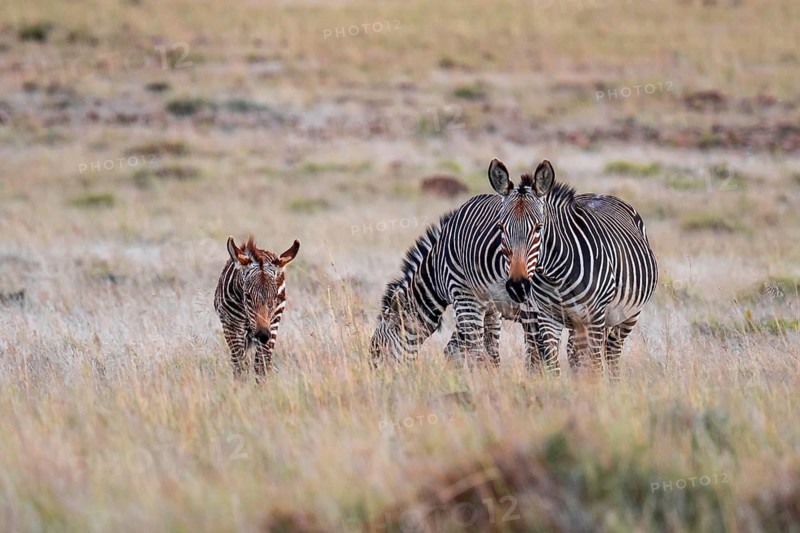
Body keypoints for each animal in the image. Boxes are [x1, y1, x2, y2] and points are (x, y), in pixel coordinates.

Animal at [214, 236, 300, 376]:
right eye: (247, 295)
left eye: (275, 297)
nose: (263, 334)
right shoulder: (232, 326)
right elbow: (239, 365)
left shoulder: (271, 327)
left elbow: (261, 366)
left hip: (273, 324)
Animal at [488, 157, 658, 376]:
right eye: (501, 227)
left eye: (538, 228)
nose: (518, 286)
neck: (555, 277)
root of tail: (600, 194)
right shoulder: (547, 317)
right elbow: (553, 366)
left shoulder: (595, 316)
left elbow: (596, 366)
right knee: (576, 353)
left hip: (628, 315)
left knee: (611, 351)